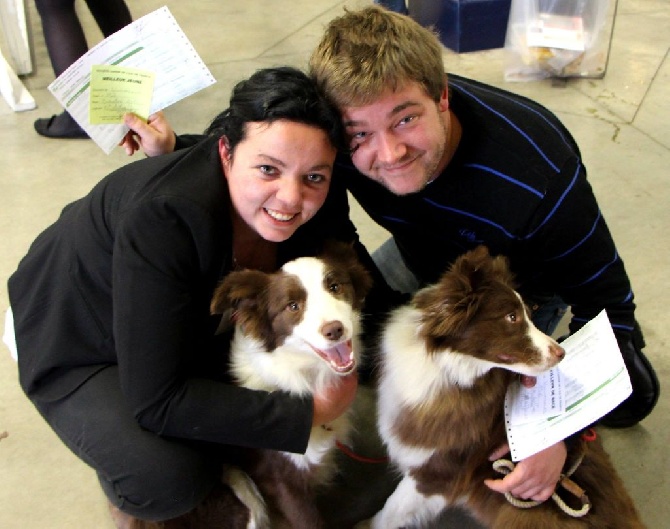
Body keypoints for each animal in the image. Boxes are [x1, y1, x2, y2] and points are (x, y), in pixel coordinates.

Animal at [364, 245, 648, 528]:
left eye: (529, 316)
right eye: (512, 317)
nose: (562, 353)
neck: (447, 368)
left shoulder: (436, 473)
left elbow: (387, 513)